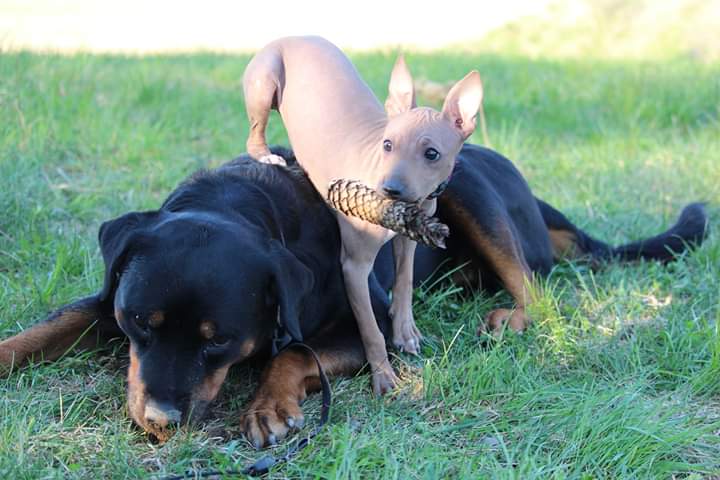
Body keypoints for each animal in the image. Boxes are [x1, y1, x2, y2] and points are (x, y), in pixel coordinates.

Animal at [0, 146, 707, 448]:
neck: (246, 204)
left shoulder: (366, 324)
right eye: (137, 323)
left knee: (537, 287)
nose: (159, 421)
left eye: (218, 342)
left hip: (468, 188)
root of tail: (534, 195)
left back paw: (510, 316)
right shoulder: (107, 296)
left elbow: (294, 352)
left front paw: (269, 407)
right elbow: (47, 327)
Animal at [243, 36, 484, 394]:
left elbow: (404, 281)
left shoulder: (408, 239)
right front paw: (383, 376)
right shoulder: (354, 267)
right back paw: (266, 156)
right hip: (264, 82)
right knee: (254, 133)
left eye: (432, 154)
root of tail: (292, 37)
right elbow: (370, 329)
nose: (390, 189)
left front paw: (405, 331)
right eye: (387, 145)